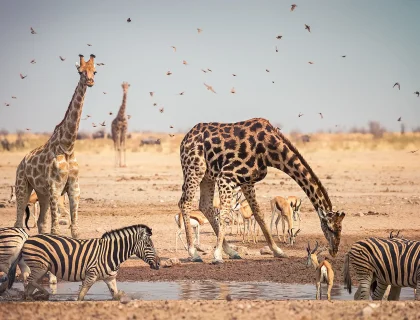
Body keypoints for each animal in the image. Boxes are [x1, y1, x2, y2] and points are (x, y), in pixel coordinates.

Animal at [8, 224, 159, 302]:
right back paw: (44, 294)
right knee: (30, 280)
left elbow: (116, 296)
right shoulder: (91, 275)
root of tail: (27, 239)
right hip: (40, 266)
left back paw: (31, 297)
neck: (110, 253)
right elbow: (80, 297)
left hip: (41, 268)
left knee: (29, 285)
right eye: (149, 245)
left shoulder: (110, 278)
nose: (159, 264)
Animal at [13, 53, 97, 238]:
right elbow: (56, 230)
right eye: (80, 71)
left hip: (41, 193)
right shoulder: (55, 187)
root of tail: (22, 161)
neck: (68, 146)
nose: (90, 81)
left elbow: (75, 230)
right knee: (18, 222)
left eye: (95, 71)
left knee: (40, 222)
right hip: (23, 186)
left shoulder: (74, 188)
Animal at [177, 117, 344, 262]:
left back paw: (232, 252)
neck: (270, 151)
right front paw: (217, 255)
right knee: (185, 202)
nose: (334, 251)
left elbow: (259, 214)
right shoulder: (228, 175)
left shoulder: (247, 181)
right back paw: (194, 253)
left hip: (208, 175)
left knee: (205, 205)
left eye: (340, 228)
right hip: (194, 168)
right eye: (330, 228)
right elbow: (225, 214)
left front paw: (278, 251)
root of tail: (184, 140)